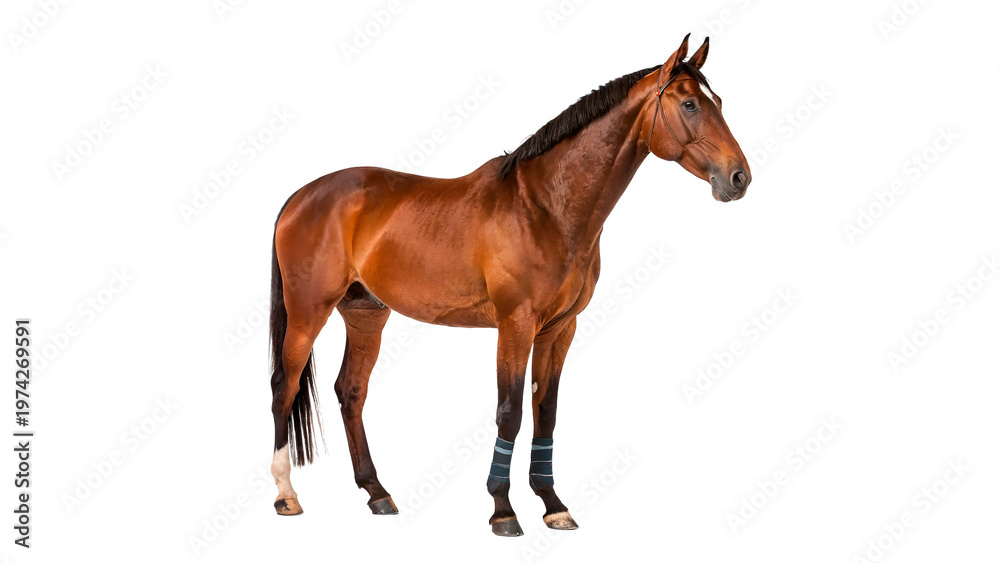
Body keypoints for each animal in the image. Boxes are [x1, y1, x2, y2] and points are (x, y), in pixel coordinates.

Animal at [267, 33, 750, 536]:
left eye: (718, 101)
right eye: (690, 104)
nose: (738, 178)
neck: (545, 207)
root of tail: (301, 196)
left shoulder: (559, 330)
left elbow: (546, 413)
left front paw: (553, 504)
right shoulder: (515, 326)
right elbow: (511, 411)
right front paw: (503, 508)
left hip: (365, 316)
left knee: (351, 392)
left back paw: (377, 493)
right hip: (307, 313)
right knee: (284, 386)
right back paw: (286, 495)